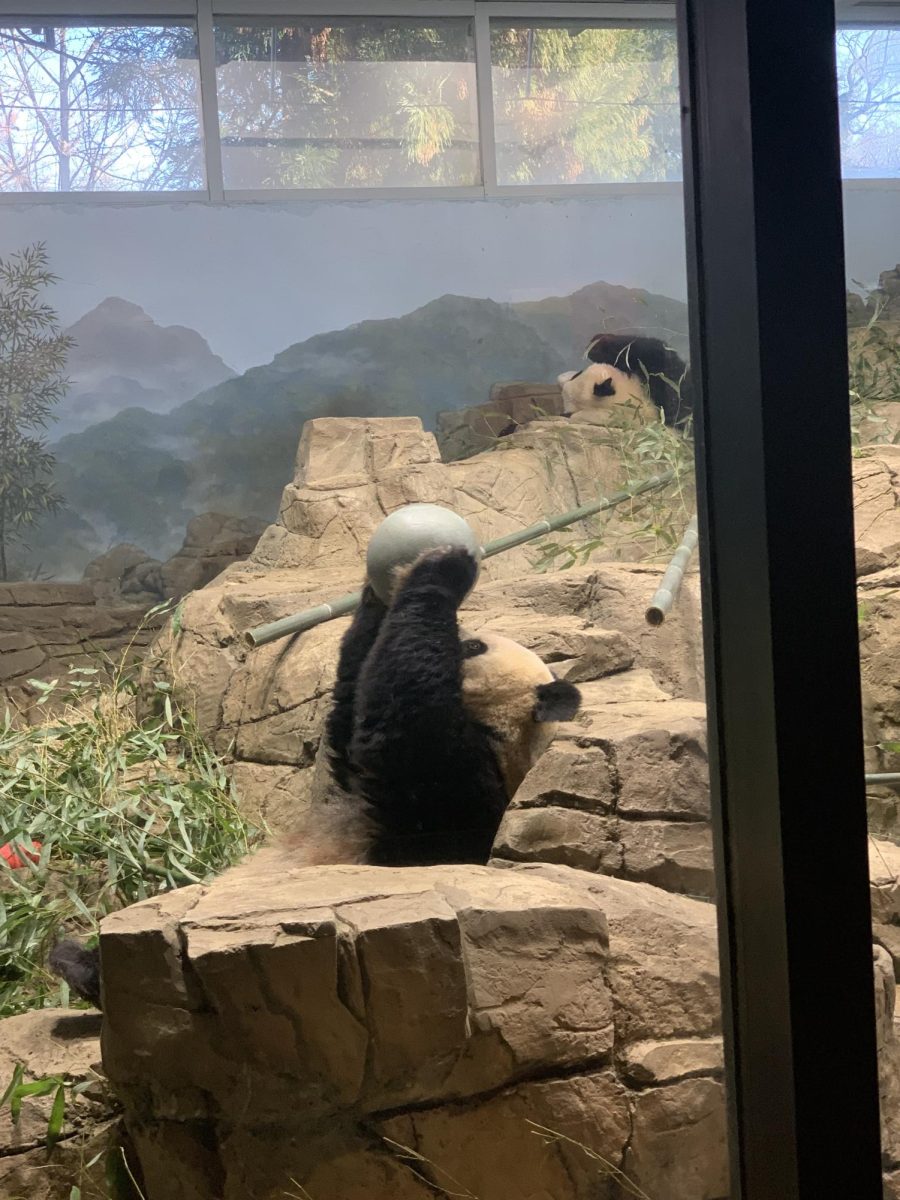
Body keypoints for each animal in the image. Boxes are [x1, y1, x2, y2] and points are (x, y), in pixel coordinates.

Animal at [51, 549, 585, 1008]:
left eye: (474, 646)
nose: (467, 630)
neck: (504, 734)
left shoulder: (459, 784)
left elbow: (402, 709)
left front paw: (444, 567)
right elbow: (350, 712)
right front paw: (381, 589)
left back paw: (85, 970)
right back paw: (72, 959)